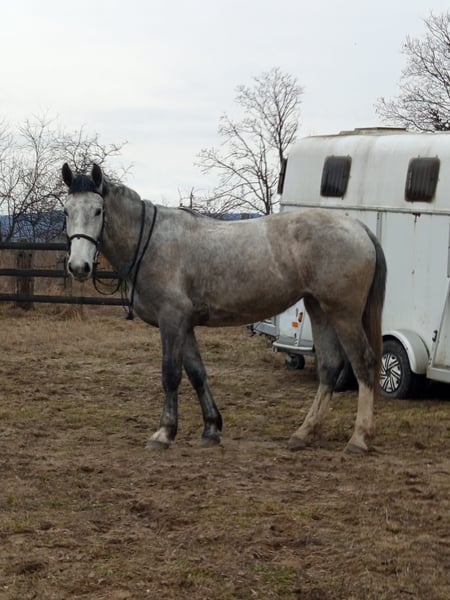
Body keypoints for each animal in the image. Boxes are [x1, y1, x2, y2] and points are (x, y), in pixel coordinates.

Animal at [62, 163, 387, 454]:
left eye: (98, 211)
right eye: (66, 211)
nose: (79, 267)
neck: (152, 242)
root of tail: (359, 228)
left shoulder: (171, 320)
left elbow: (170, 374)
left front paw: (164, 432)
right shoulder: (185, 324)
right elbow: (196, 373)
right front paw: (211, 428)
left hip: (343, 313)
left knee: (364, 363)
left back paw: (358, 439)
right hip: (318, 308)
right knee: (330, 366)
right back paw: (303, 433)